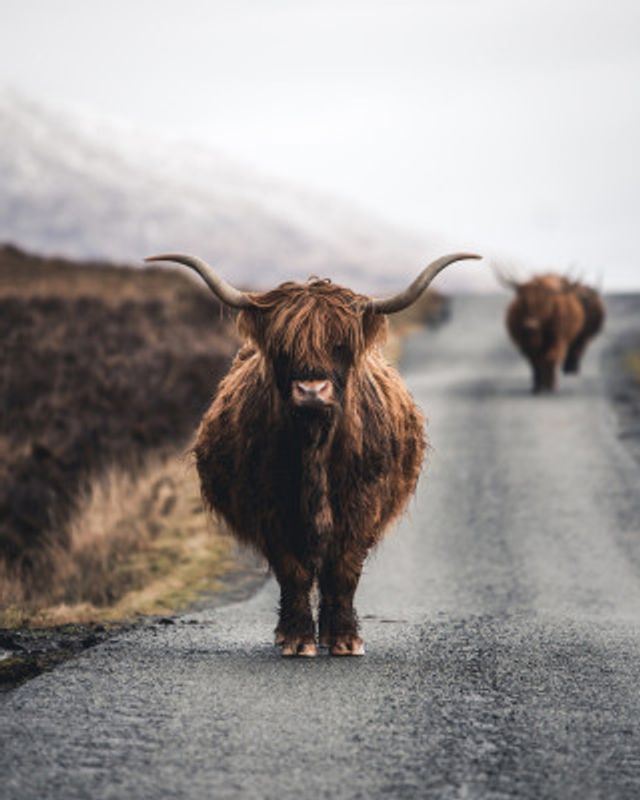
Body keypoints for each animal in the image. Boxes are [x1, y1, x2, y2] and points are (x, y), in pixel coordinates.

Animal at [146, 252, 480, 656]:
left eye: (340, 346)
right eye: (283, 348)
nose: (311, 390)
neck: (314, 444)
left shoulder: (362, 504)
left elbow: (343, 570)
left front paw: (344, 639)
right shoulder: (269, 508)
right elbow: (293, 570)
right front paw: (297, 638)